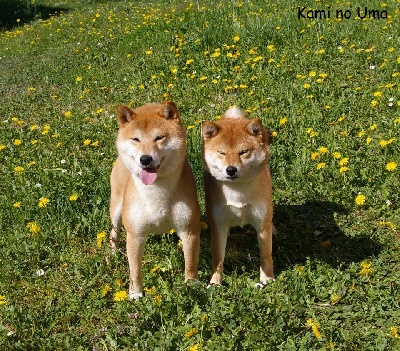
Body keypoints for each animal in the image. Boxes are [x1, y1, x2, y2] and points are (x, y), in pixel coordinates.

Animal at [109, 99, 200, 300]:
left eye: (159, 138)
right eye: (136, 139)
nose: (145, 159)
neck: (156, 193)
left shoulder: (189, 230)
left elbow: (190, 264)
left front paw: (191, 286)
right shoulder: (135, 235)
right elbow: (135, 269)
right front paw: (135, 293)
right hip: (116, 209)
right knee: (114, 233)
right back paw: (112, 255)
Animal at [203, 106, 276, 286]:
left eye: (243, 152)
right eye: (222, 153)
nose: (231, 169)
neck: (238, 193)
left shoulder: (261, 223)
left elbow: (266, 255)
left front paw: (267, 278)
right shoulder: (218, 225)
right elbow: (218, 259)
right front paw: (215, 283)